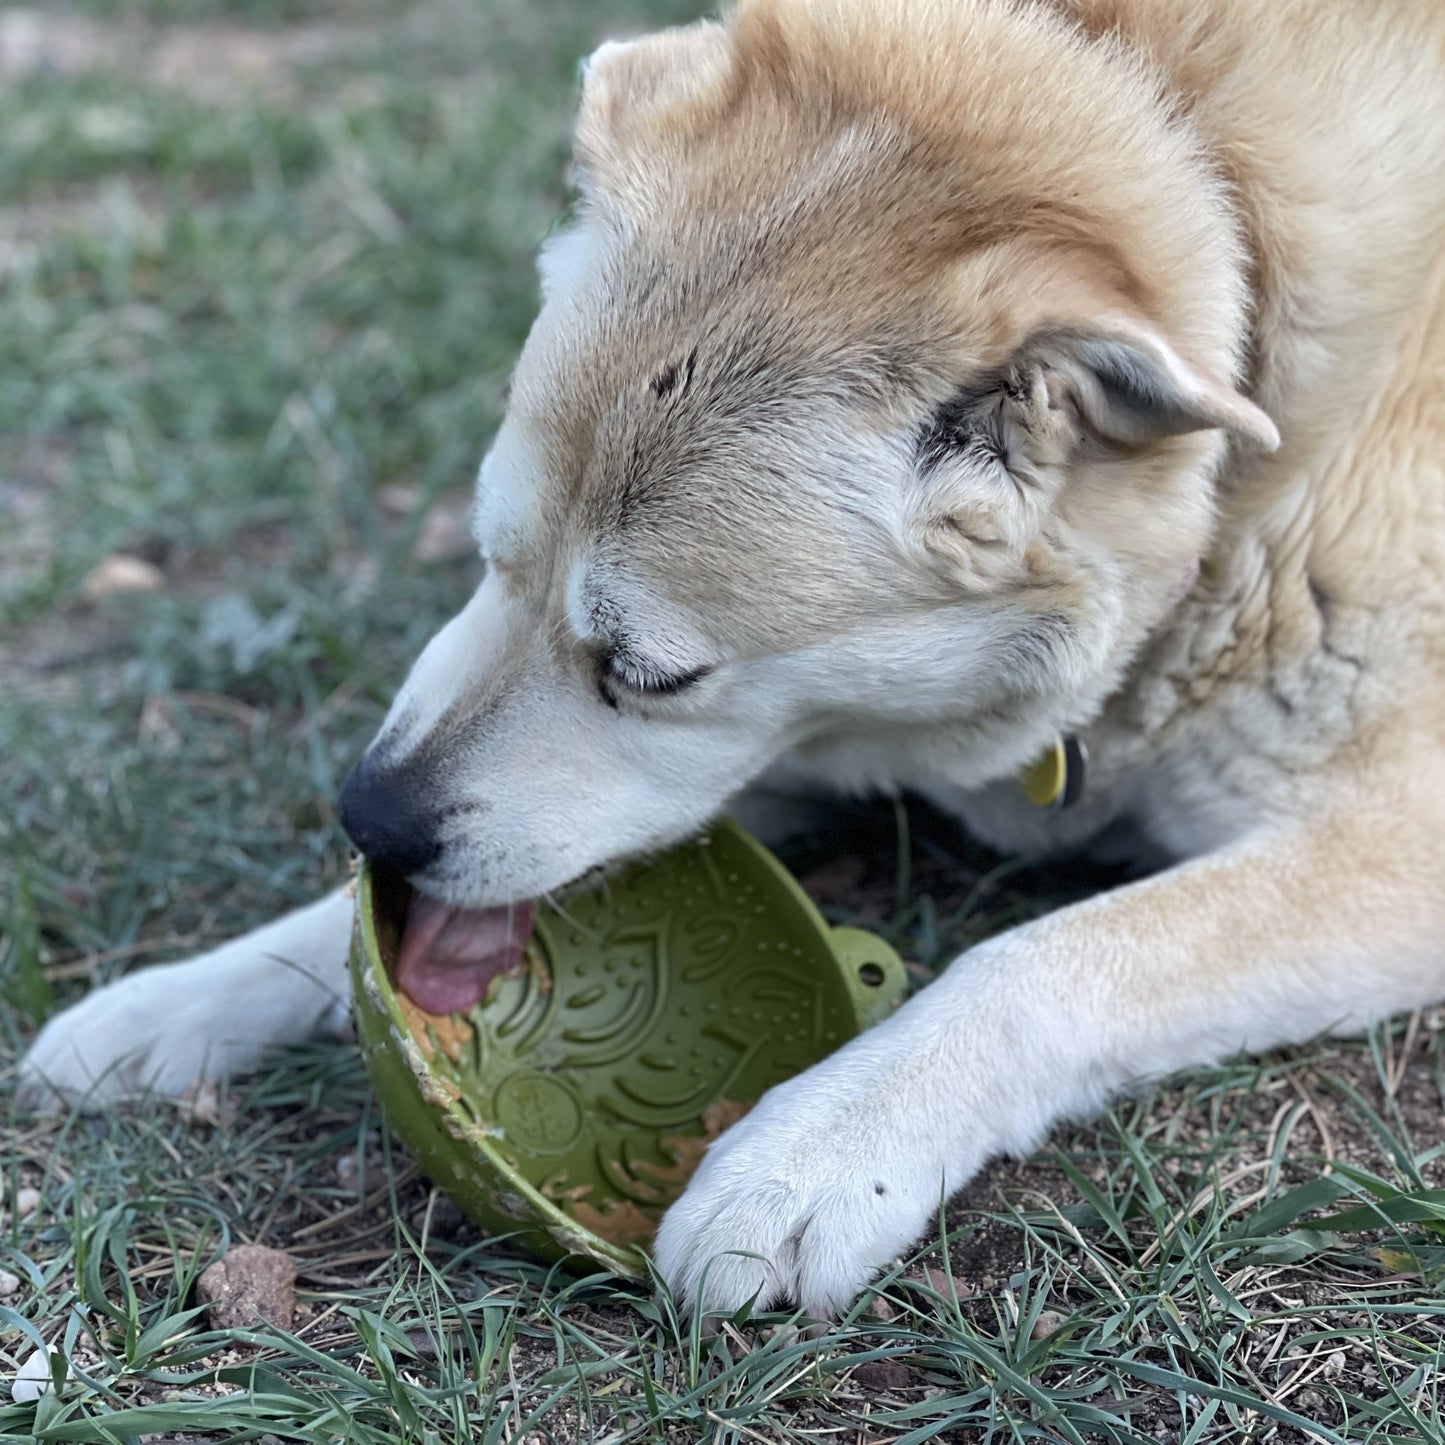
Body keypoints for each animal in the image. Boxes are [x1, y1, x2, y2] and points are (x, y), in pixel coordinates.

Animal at [22, 0, 1445, 1317]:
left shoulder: (1385, 851)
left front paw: (814, 1155)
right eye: (489, 557)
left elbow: (1036, 959)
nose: (364, 817)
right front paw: (172, 1004)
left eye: (648, 672)